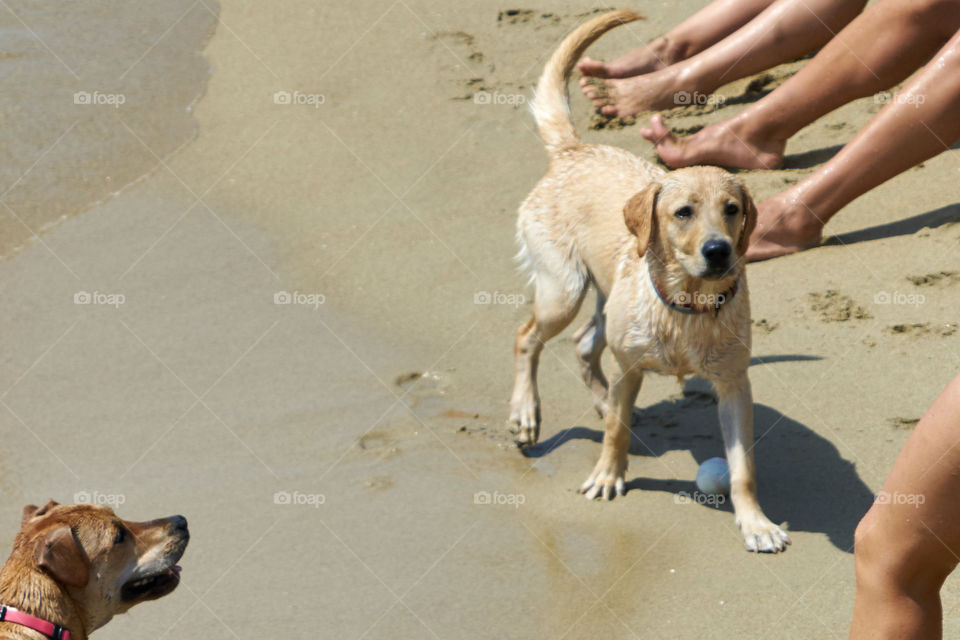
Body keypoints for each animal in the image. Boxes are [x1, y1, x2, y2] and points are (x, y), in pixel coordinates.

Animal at [510, 8, 788, 552]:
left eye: (732, 209)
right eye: (683, 213)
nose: (719, 251)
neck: (688, 306)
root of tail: (573, 149)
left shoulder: (734, 384)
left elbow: (742, 467)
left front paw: (757, 523)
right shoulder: (631, 365)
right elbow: (616, 434)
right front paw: (607, 476)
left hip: (603, 298)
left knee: (584, 345)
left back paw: (599, 403)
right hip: (564, 289)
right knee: (528, 337)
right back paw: (526, 414)